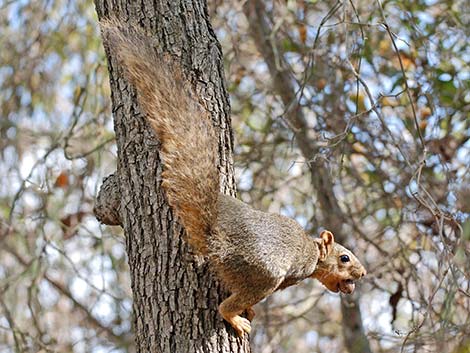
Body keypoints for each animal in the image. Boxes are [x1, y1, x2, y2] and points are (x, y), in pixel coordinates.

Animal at [102, 21, 368, 336]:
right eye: (344, 258)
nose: (363, 273)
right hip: (260, 275)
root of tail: (214, 238)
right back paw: (236, 317)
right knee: (227, 304)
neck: (313, 252)